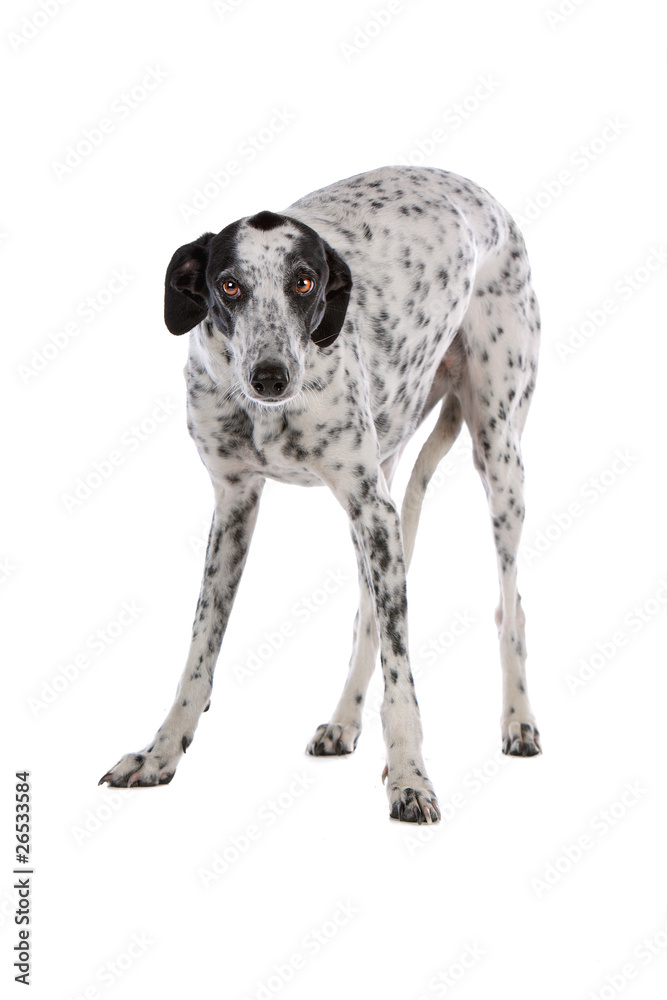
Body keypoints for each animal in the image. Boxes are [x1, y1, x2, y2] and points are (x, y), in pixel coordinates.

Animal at [102, 166, 544, 820]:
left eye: (304, 282)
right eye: (229, 286)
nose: (270, 377)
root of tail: (480, 193)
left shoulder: (372, 509)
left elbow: (403, 674)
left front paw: (410, 778)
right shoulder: (236, 505)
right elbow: (199, 654)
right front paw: (161, 753)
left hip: (496, 455)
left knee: (509, 606)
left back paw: (518, 720)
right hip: (383, 494)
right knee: (368, 616)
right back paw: (343, 721)